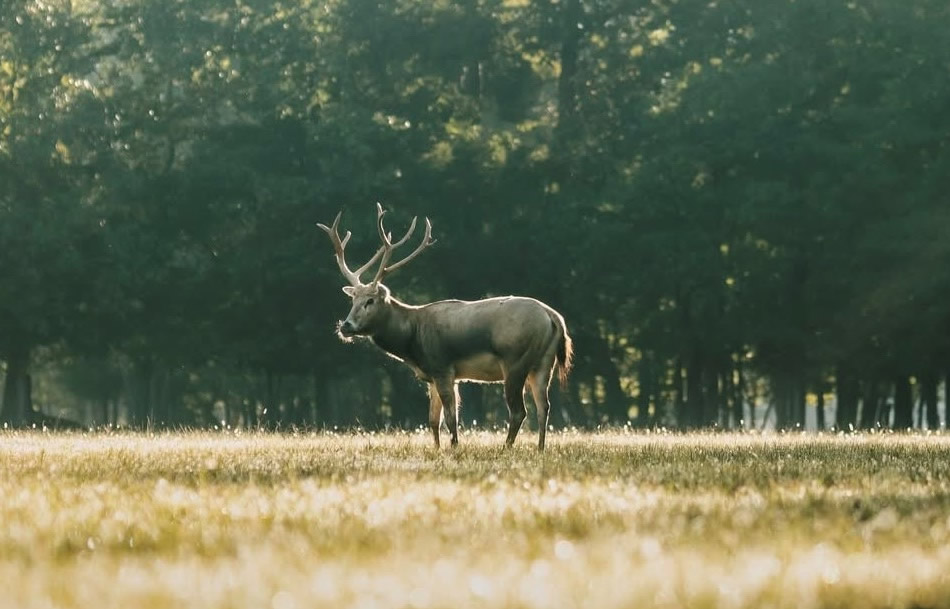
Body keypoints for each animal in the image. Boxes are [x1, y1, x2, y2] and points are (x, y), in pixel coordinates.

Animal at [317, 204, 572, 450]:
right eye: (353, 300)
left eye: (370, 301)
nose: (345, 326)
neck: (413, 341)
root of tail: (554, 317)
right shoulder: (432, 376)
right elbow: (432, 420)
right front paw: (438, 449)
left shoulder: (442, 367)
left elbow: (451, 418)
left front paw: (454, 448)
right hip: (543, 363)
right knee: (544, 407)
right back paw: (540, 449)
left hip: (515, 361)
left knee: (519, 410)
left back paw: (506, 448)